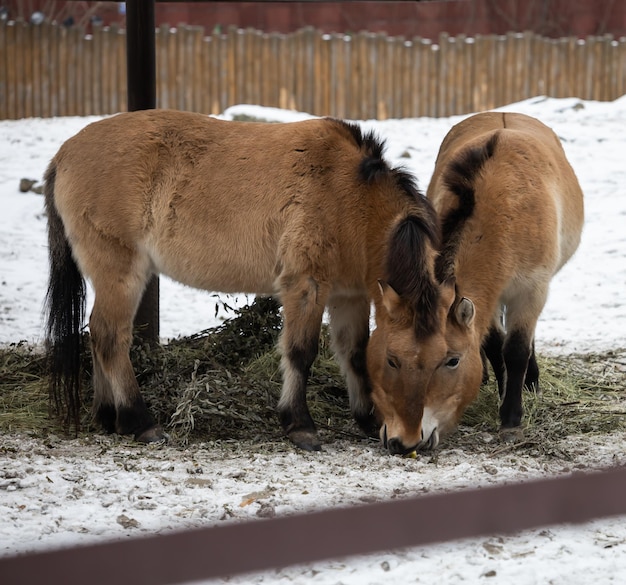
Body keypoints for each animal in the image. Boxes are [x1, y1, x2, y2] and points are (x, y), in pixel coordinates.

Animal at [44, 107, 442, 450]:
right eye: (392, 360)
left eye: (444, 360)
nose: (408, 442)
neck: (349, 193)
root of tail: (63, 154)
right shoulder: (306, 285)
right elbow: (301, 352)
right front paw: (300, 426)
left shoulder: (349, 295)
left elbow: (353, 353)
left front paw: (367, 419)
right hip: (121, 273)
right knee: (111, 337)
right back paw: (139, 421)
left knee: (98, 334)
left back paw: (108, 417)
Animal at [368, 112, 584, 454]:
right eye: (391, 359)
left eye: (451, 361)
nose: (404, 441)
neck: (504, 208)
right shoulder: (489, 298)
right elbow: (494, 343)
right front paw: (499, 389)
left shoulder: (531, 291)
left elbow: (517, 349)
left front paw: (511, 418)